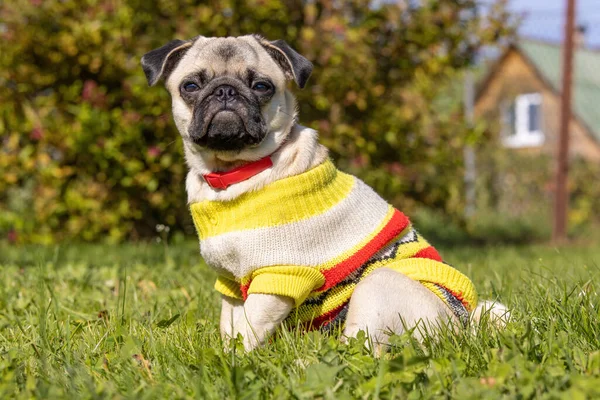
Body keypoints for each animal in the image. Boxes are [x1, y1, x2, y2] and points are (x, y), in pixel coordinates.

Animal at [141, 35, 506, 354]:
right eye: (190, 86)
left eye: (261, 86)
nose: (226, 91)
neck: (232, 173)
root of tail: (461, 324)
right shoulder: (229, 283)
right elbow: (230, 326)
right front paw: (226, 351)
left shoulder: (279, 276)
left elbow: (248, 329)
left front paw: (236, 360)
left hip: (376, 287)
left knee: (365, 349)